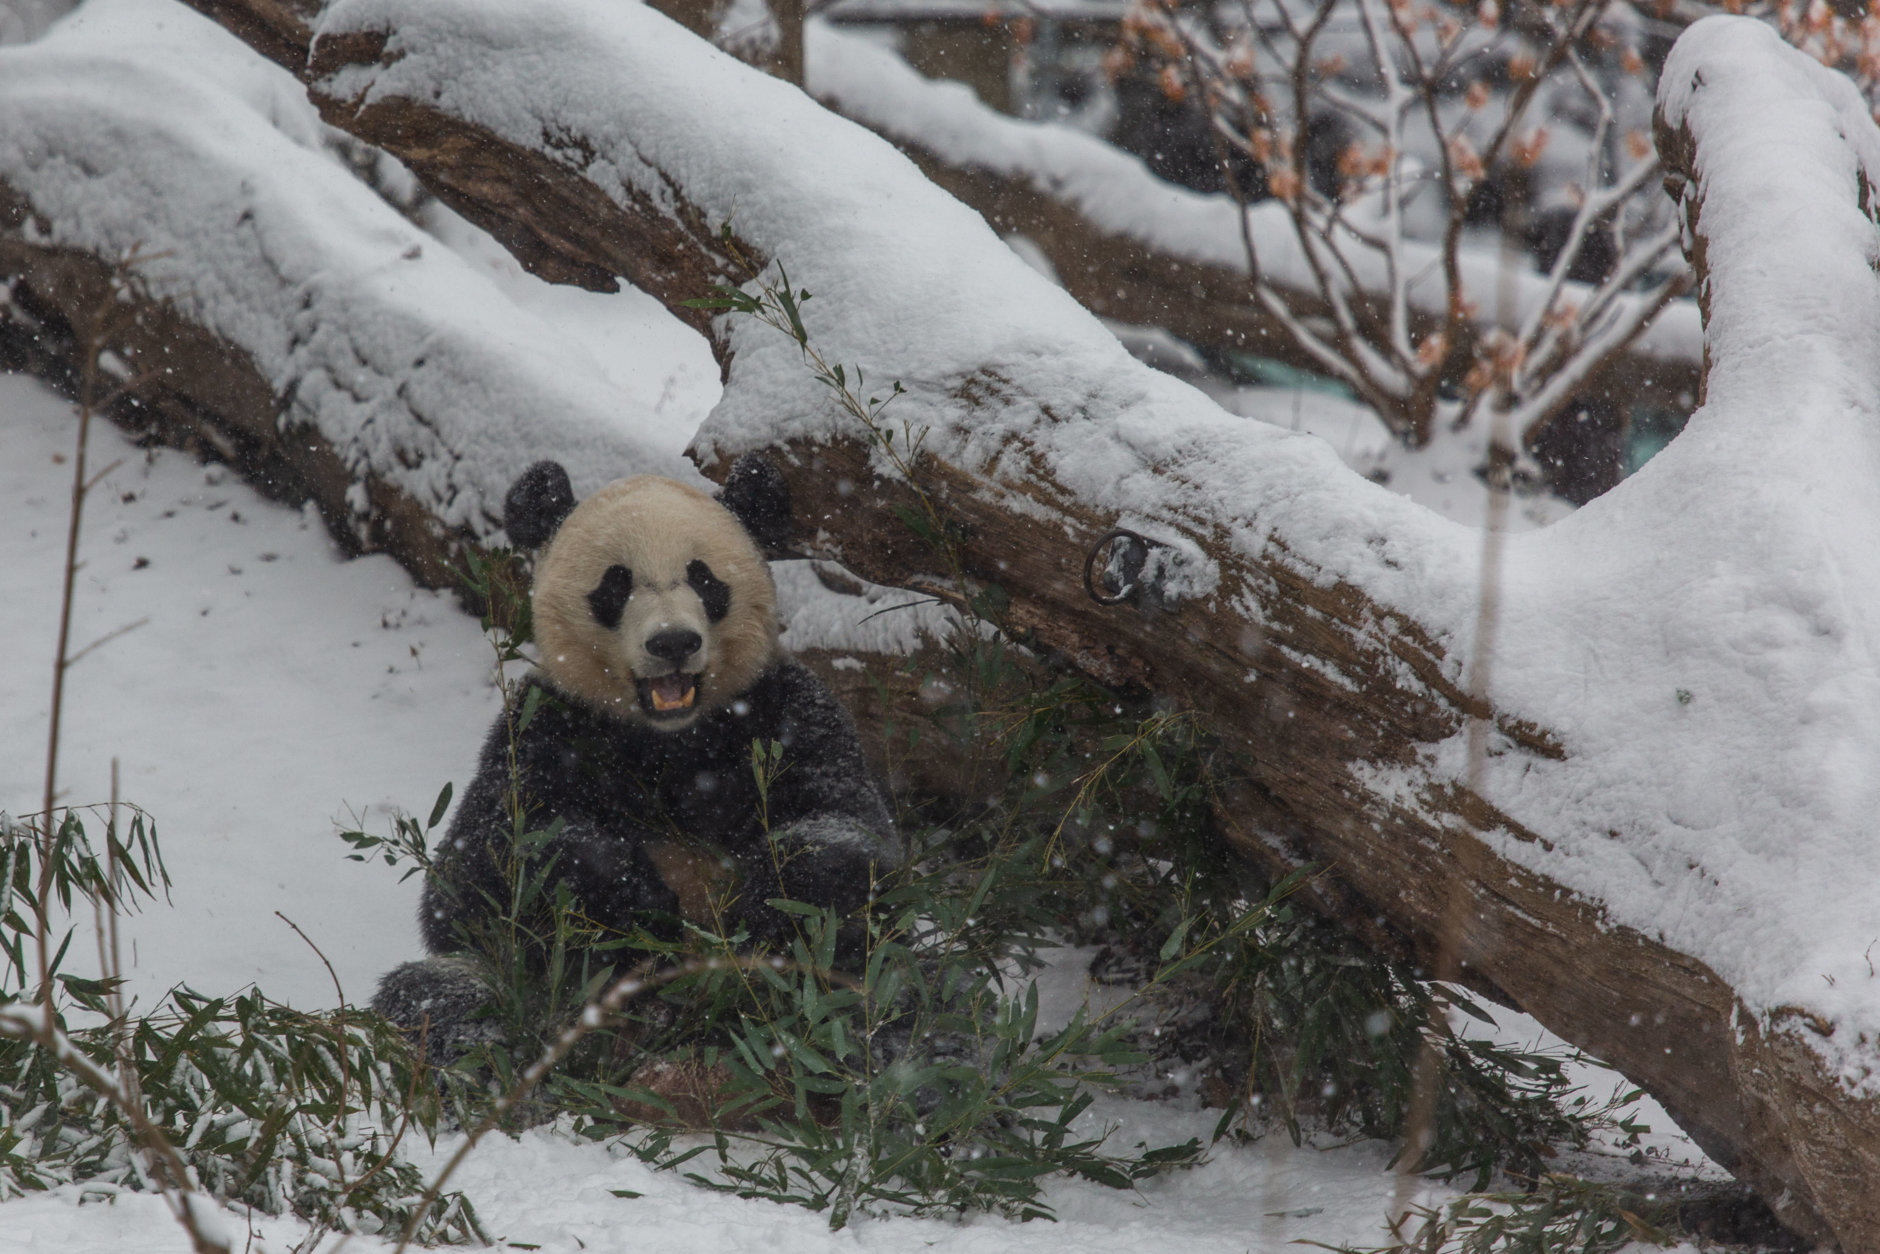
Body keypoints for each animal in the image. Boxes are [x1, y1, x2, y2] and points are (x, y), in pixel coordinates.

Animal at [374, 456, 902, 1052]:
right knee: (440, 994)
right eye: (615, 583)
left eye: (704, 578)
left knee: (873, 981)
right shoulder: (545, 731)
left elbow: (843, 830)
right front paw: (639, 901)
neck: (669, 739)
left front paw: (764, 906)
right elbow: (485, 868)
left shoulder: (786, 716)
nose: (672, 642)